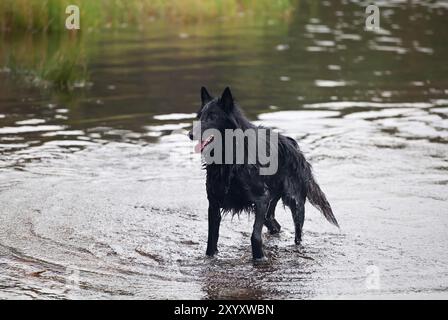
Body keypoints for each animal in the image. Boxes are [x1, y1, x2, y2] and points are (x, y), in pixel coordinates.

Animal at [187, 86, 338, 262]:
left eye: (212, 116)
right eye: (199, 117)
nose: (190, 134)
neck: (230, 159)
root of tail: (292, 143)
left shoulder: (261, 200)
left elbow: (255, 236)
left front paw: (259, 258)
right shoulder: (214, 203)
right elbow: (211, 240)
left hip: (295, 203)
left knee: (297, 235)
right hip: (270, 206)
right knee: (275, 225)